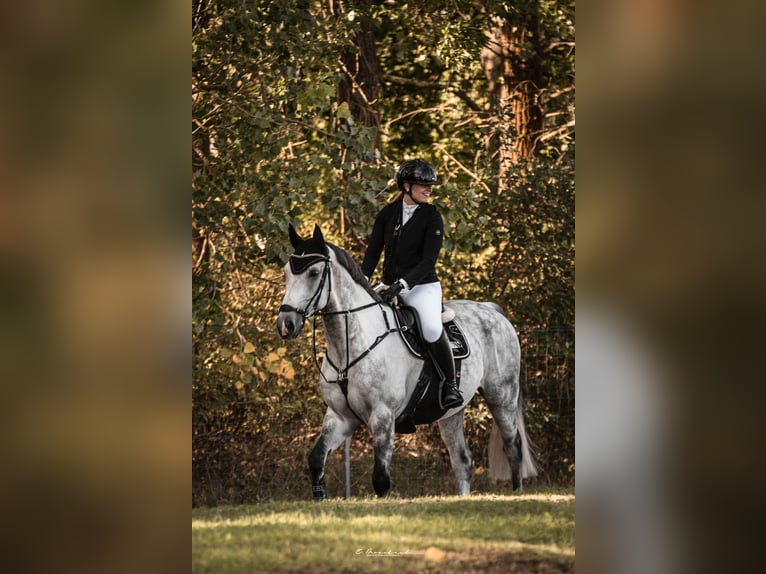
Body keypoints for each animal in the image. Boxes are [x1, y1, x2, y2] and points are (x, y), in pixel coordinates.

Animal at [276, 224, 536, 499]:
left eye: (314, 272)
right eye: (286, 273)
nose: (285, 325)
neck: (349, 345)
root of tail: (491, 310)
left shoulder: (383, 416)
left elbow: (381, 479)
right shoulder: (340, 417)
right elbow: (316, 459)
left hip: (502, 396)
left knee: (513, 447)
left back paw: (518, 493)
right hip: (451, 413)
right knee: (462, 460)